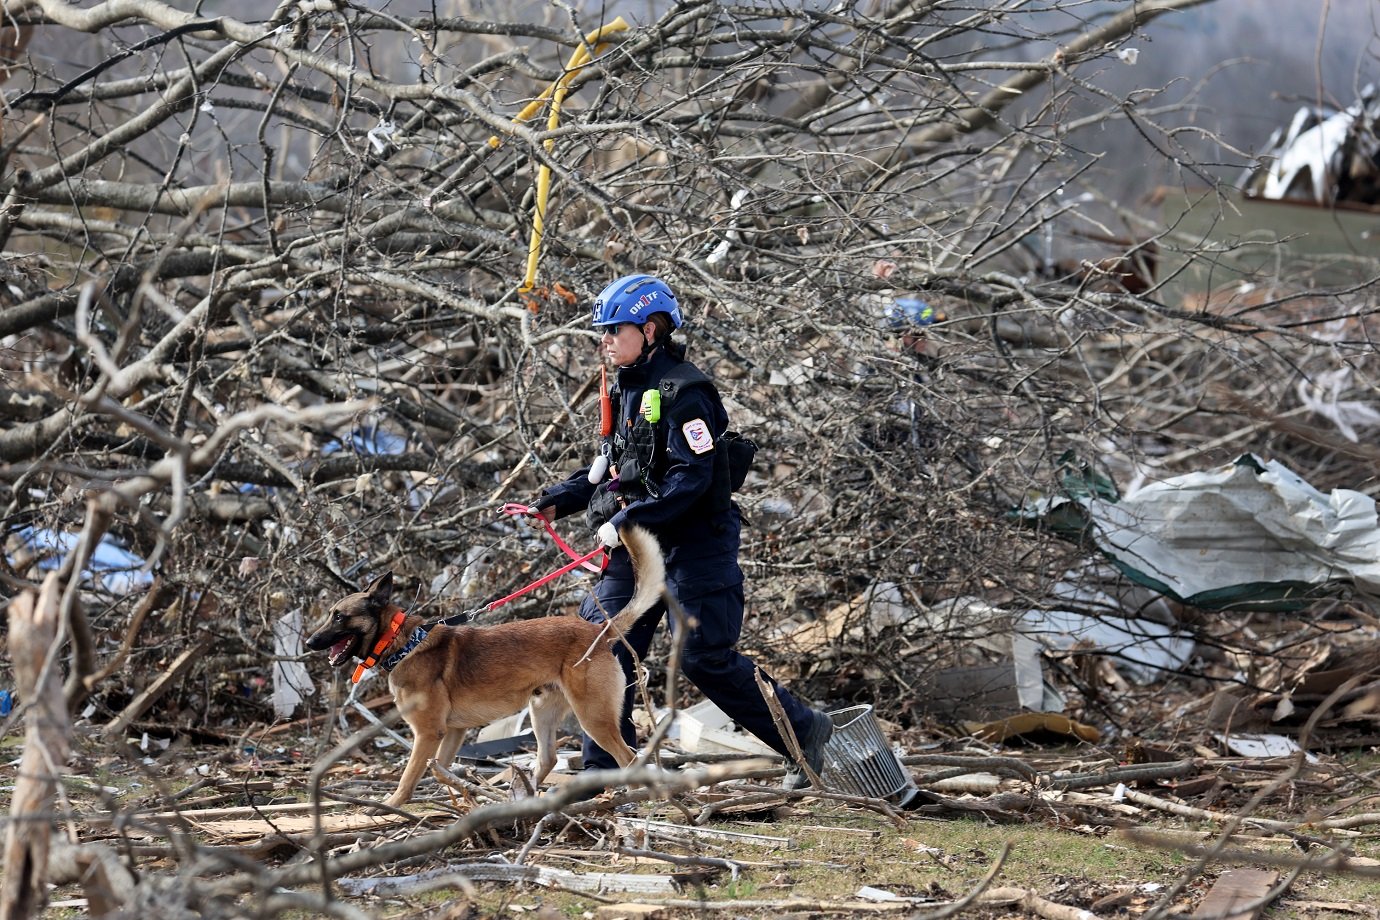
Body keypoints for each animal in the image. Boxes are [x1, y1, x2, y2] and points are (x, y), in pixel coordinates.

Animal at [310, 521, 665, 811]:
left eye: (339, 616)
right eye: (329, 614)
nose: (310, 642)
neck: (403, 644)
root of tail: (597, 631)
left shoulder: (427, 733)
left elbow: (409, 776)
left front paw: (391, 805)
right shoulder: (452, 732)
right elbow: (440, 771)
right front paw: (467, 791)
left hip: (592, 717)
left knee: (628, 757)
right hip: (541, 711)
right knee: (548, 758)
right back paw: (522, 797)